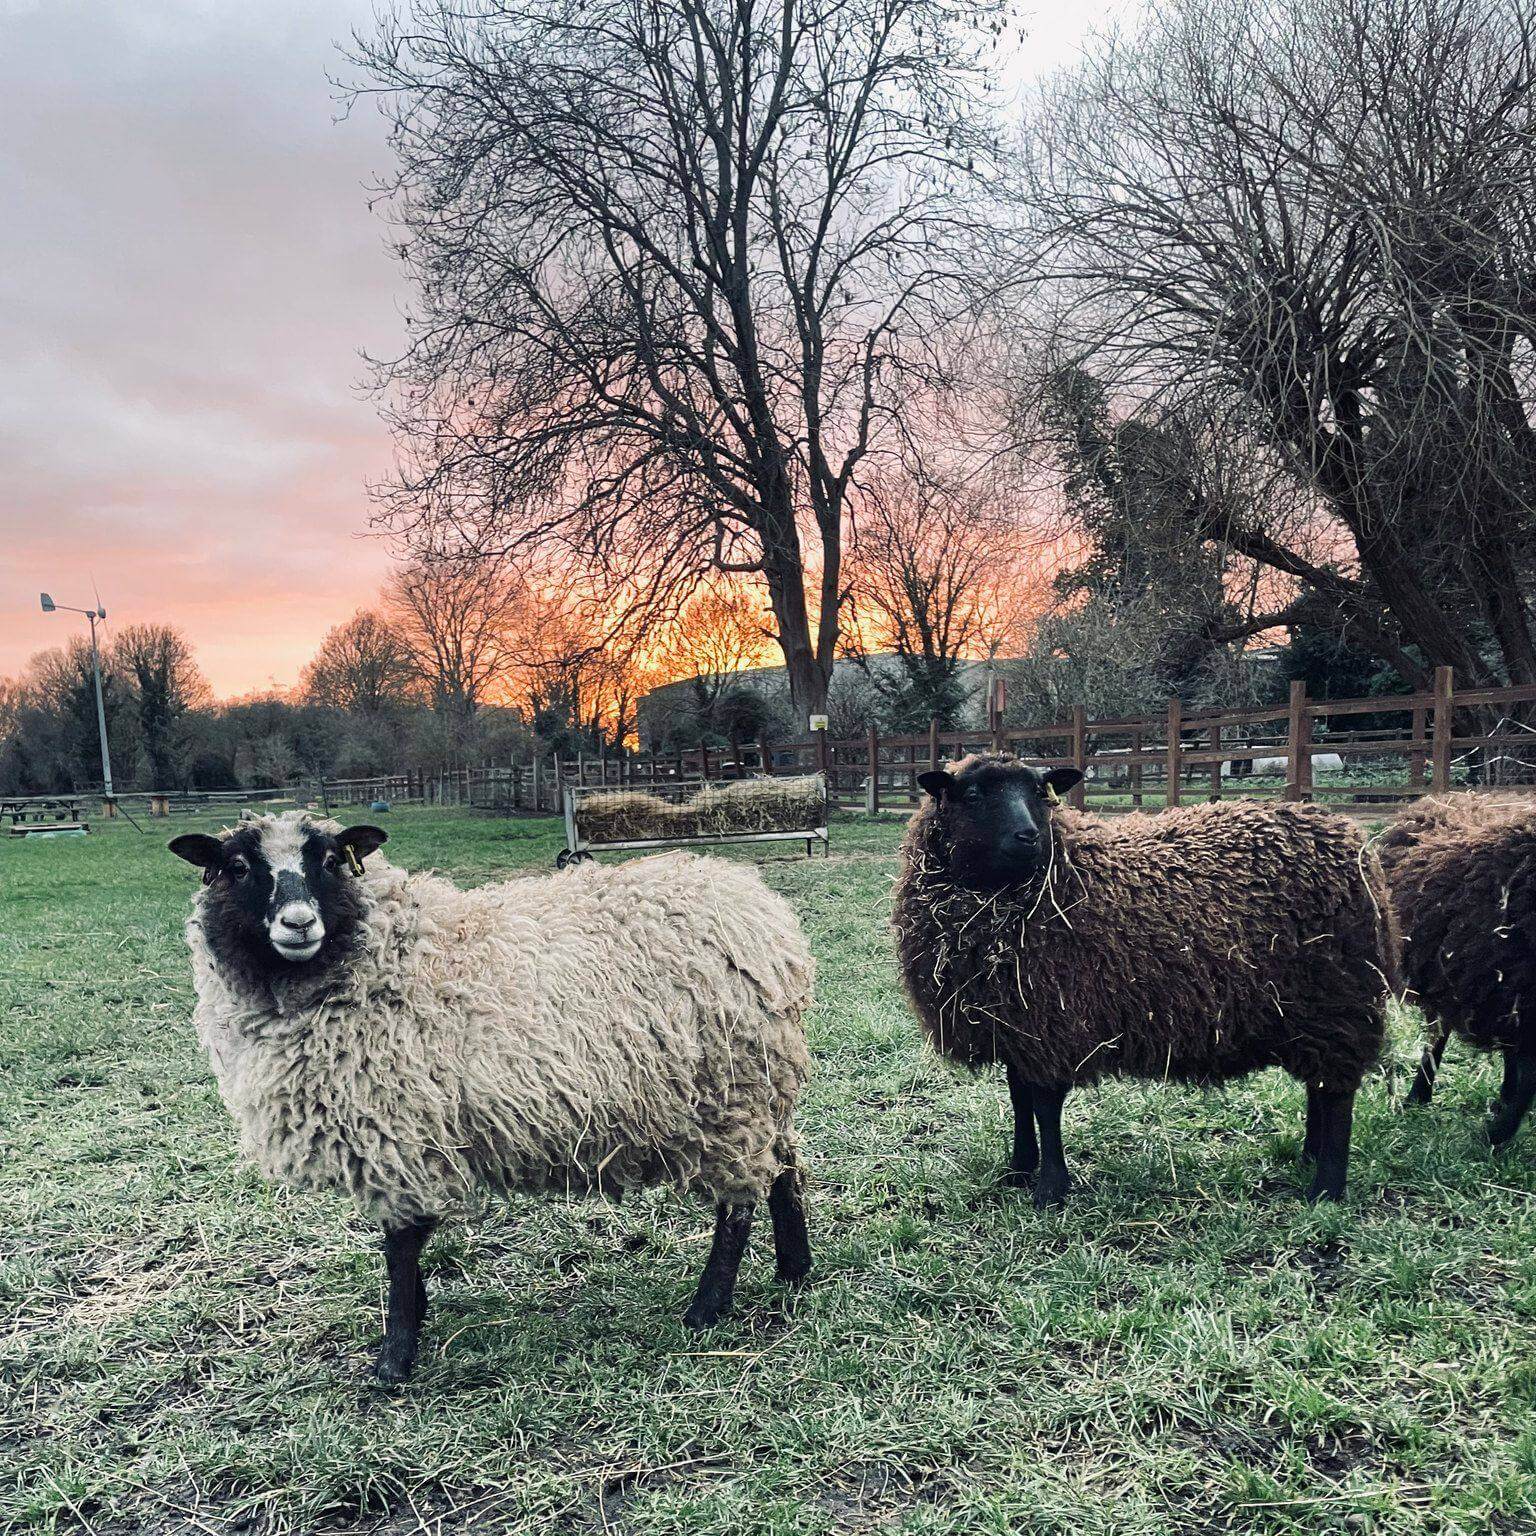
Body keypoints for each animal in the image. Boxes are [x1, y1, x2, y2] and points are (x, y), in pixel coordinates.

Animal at [171, 817, 817, 1382]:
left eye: (330, 860)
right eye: (236, 867)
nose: (299, 922)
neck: (380, 952)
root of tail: (761, 911)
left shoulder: (397, 1133)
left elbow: (400, 1246)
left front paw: (394, 1358)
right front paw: (414, 1320)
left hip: (729, 1094)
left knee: (739, 1201)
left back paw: (707, 1308)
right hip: (760, 1091)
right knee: (786, 1165)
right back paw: (794, 1272)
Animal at [890, 752, 1406, 1198]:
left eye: (1040, 792)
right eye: (973, 793)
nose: (1028, 836)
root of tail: (1351, 840)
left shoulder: (1057, 1022)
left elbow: (1046, 1105)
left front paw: (1050, 1188)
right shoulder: (1017, 1027)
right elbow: (1020, 1099)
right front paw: (1018, 1170)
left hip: (1339, 1001)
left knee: (1337, 1094)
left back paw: (1326, 1188)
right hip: (1312, 1013)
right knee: (1320, 1087)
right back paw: (1308, 1158)